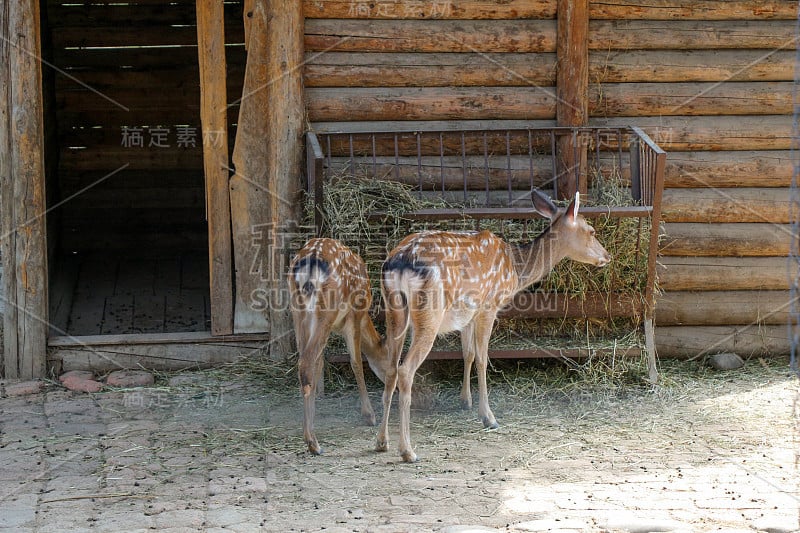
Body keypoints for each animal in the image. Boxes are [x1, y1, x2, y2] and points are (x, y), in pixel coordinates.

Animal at [288, 237, 390, 454]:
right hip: (326, 310)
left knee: (305, 362)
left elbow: (320, 364)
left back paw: (310, 435)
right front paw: (369, 415)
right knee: (306, 363)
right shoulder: (355, 316)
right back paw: (313, 443)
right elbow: (356, 362)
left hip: (297, 310)